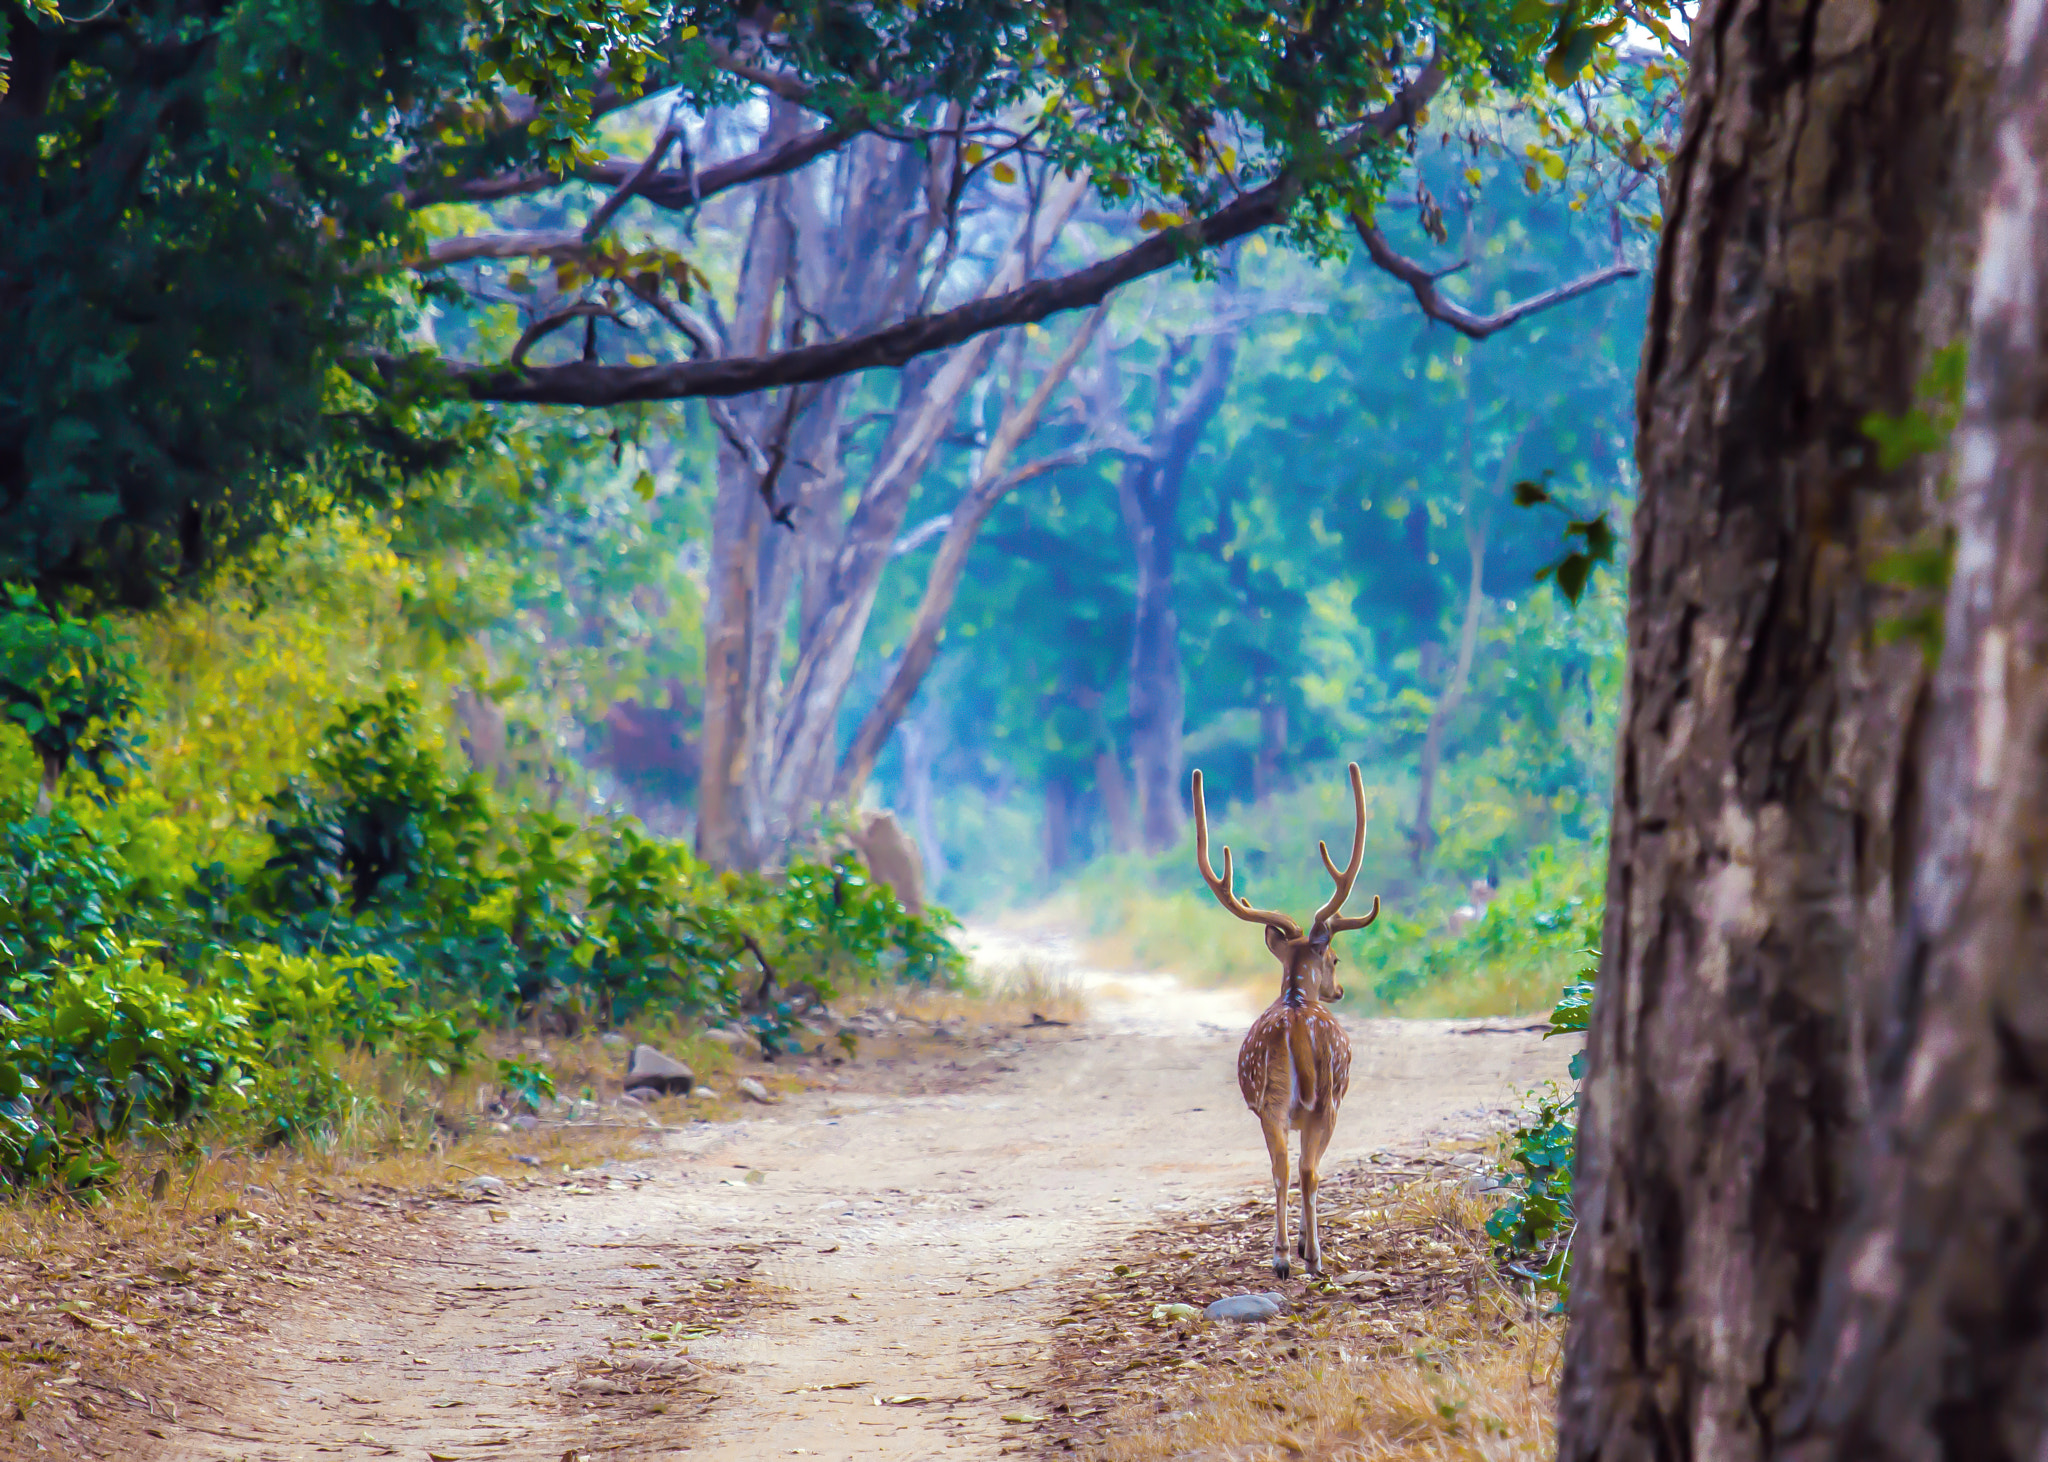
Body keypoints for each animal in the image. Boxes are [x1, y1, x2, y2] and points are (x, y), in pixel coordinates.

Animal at [1193, 761, 1380, 1280]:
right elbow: (1310, 1167)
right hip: (1325, 1099)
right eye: (1334, 958)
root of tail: (1297, 1022)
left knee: (1280, 1166)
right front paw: (1303, 1246)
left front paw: (1291, 1247)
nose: (1339, 990)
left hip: (1268, 1098)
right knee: (1307, 1169)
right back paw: (1310, 1257)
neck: (1296, 995)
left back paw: (1279, 1257)